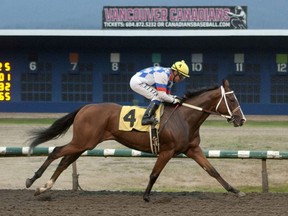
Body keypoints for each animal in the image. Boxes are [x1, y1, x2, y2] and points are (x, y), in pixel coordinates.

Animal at [25, 79, 245, 202]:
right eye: (231, 99)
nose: (241, 119)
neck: (185, 117)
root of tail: (85, 107)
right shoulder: (167, 151)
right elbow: (154, 174)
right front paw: (146, 196)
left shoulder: (192, 149)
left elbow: (213, 171)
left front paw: (235, 191)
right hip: (83, 142)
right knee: (56, 151)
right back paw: (32, 180)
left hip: (84, 144)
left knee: (64, 161)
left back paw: (43, 187)